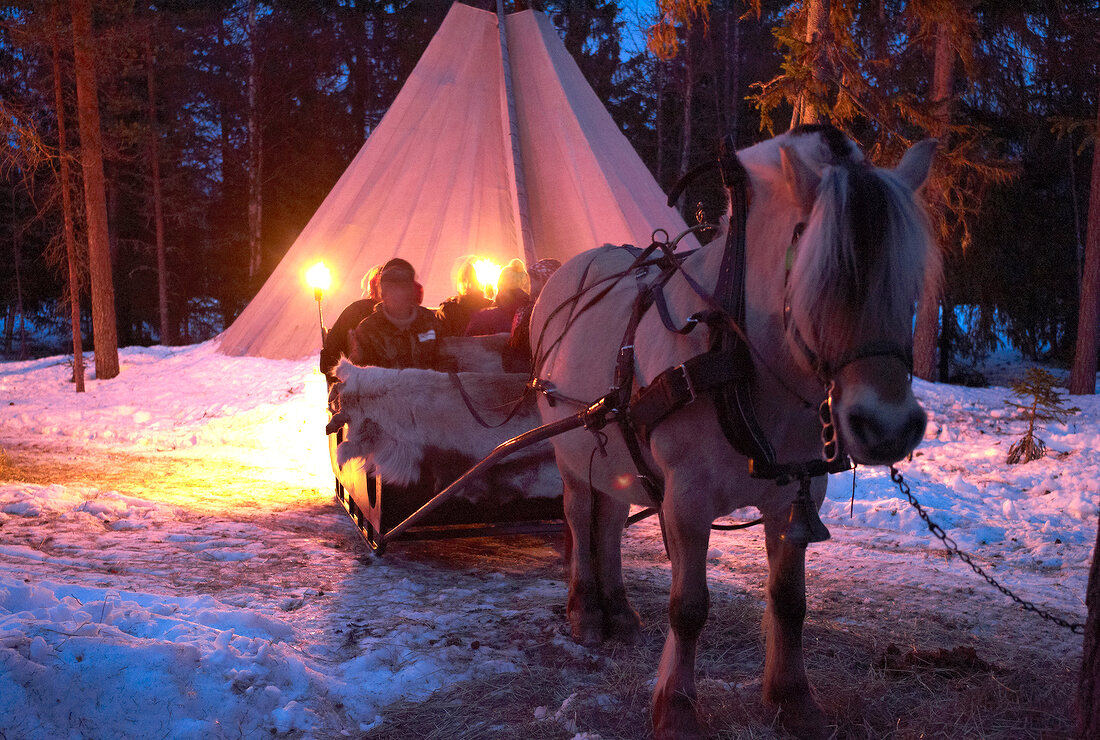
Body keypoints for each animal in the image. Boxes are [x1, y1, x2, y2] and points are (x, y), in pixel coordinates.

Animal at [528, 124, 941, 734]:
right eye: (823, 276)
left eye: (909, 281)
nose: (888, 426)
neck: (733, 358)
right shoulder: (687, 497)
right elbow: (689, 607)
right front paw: (677, 709)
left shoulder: (796, 495)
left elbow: (790, 601)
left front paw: (793, 700)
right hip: (569, 448)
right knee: (581, 518)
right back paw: (585, 611)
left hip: (617, 457)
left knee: (610, 521)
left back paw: (619, 611)